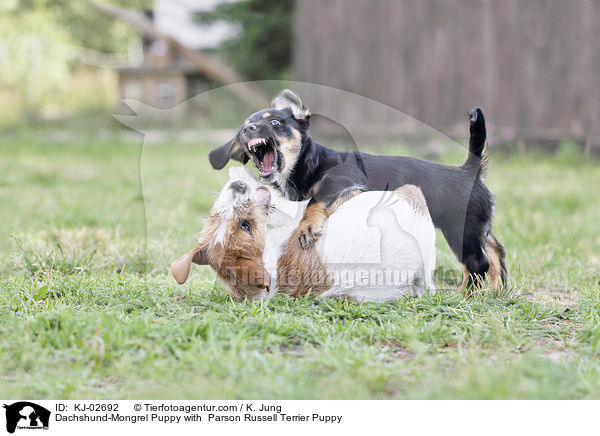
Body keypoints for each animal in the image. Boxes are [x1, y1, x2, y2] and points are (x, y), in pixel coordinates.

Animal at [211, 90, 506, 288]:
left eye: (275, 123)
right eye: (246, 126)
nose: (247, 129)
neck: (308, 161)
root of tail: (469, 170)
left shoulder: (342, 181)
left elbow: (316, 202)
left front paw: (306, 228)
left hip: (460, 230)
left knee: (477, 264)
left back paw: (466, 298)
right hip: (478, 227)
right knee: (495, 253)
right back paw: (497, 292)